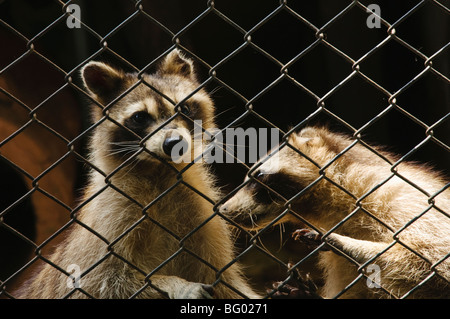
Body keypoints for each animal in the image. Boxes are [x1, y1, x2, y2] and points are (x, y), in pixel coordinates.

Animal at [16, 50, 260, 300]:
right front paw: (173, 283)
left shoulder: (202, 214)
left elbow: (226, 281)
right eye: (140, 118)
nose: (174, 143)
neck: (161, 171)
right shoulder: (109, 219)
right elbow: (106, 281)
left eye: (184, 109)